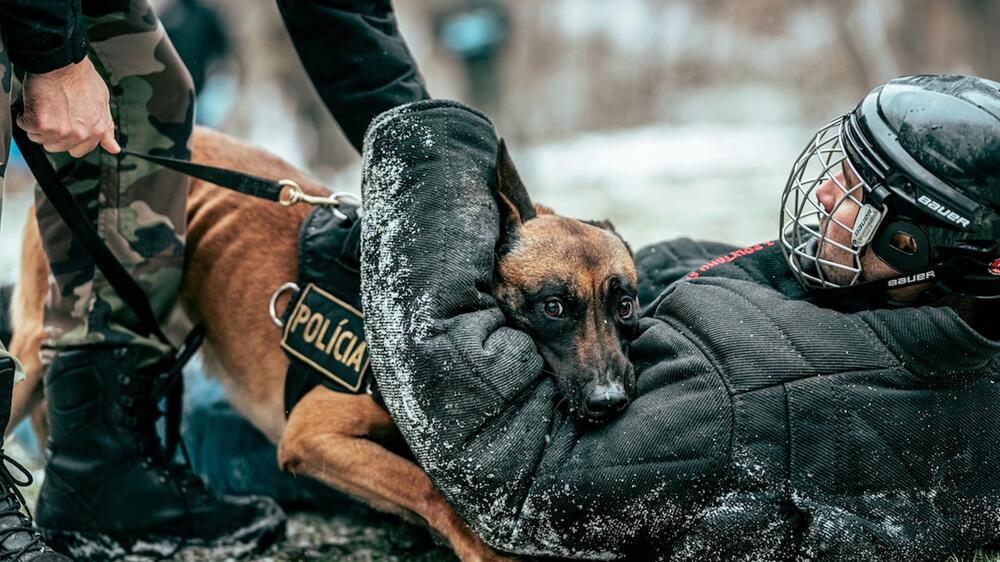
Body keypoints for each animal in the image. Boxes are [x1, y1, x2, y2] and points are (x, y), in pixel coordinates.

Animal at [11, 128, 636, 560]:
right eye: (553, 308)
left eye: (625, 306)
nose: (610, 402)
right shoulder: (311, 436)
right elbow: (424, 485)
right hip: (31, 356)